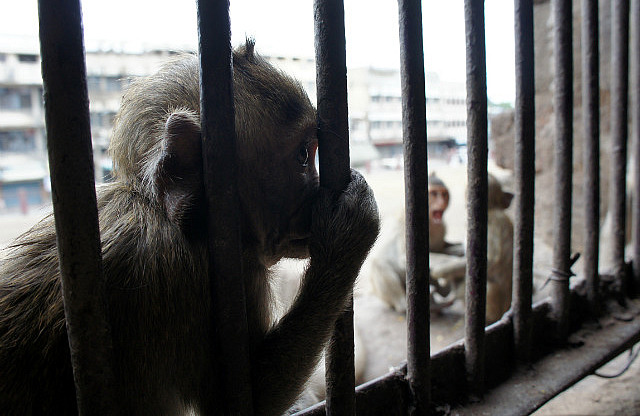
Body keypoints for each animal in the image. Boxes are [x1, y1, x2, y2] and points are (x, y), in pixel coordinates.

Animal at [0, 40, 380, 416]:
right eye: (302, 156)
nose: (318, 188)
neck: (157, 213)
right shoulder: (204, 273)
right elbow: (239, 401)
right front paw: (345, 241)